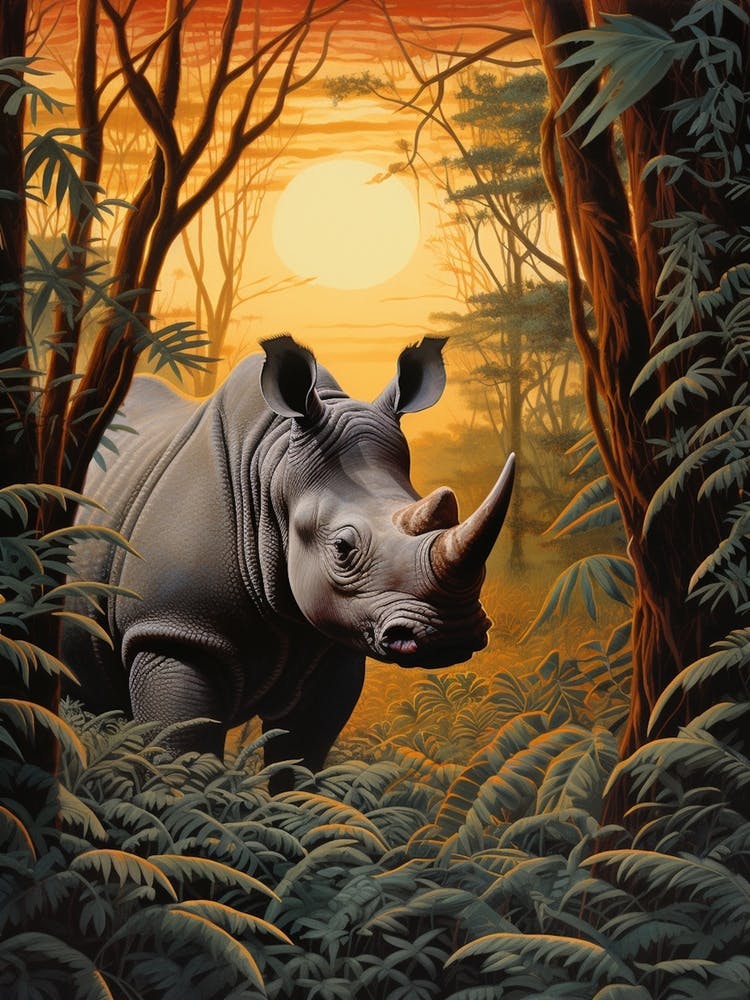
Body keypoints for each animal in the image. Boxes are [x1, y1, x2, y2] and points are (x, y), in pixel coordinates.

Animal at [64, 335, 514, 787]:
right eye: (343, 549)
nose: (453, 632)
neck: (270, 471)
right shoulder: (171, 631)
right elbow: (180, 754)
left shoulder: (331, 648)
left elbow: (302, 753)